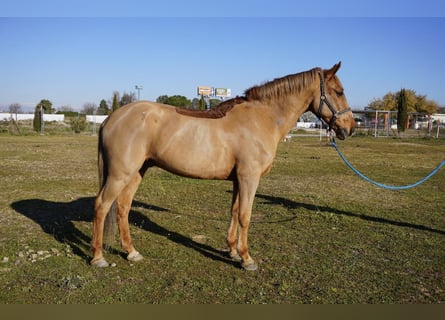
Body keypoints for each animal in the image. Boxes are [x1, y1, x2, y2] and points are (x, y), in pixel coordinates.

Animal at [90, 62, 354, 270]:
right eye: (339, 91)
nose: (349, 128)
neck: (263, 118)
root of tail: (111, 118)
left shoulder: (238, 180)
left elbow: (235, 212)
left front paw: (233, 251)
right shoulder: (249, 178)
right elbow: (246, 215)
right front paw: (247, 259)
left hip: (136, 172)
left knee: (123, 207)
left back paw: (131, 252)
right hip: (120, 174)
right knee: (102, 205)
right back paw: (98, 257)